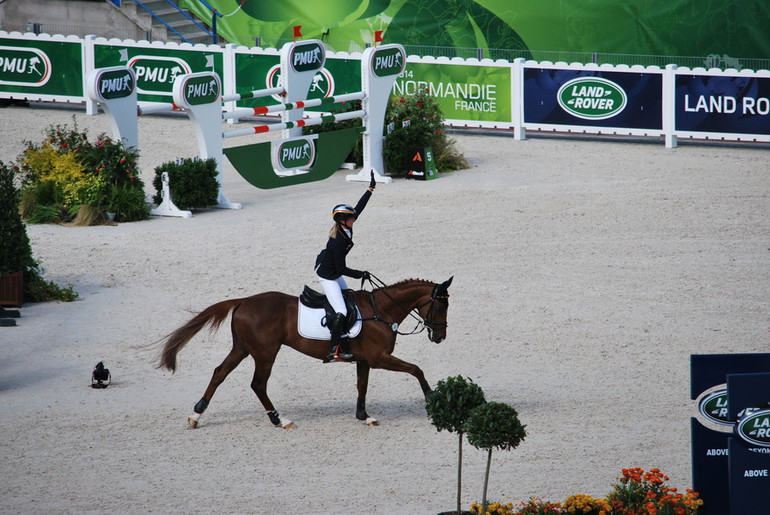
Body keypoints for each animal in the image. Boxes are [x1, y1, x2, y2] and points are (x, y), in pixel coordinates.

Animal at [159, 278, 452, 432]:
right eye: (440, 307)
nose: (440, 337)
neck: (380, 310)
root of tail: (243, 301)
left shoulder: (364, 360)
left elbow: (362, 386)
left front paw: (364, 416)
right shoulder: (379, 358)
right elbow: (416, 369)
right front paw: (432, 398)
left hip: (242, 348)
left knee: (219, 373)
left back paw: (196, 415)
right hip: (265, 353)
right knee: (258, 384)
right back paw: (280, 419)